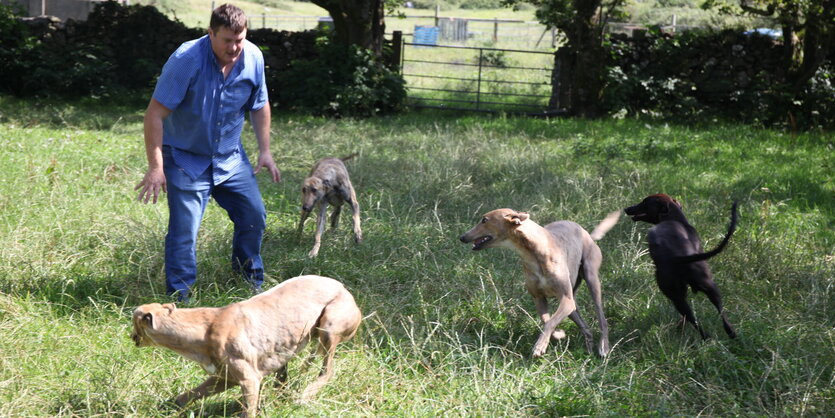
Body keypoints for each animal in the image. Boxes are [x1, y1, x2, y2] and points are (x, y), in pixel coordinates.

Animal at [628, 195, 740, 340]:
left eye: (645, 202)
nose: (626, 209)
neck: (674, 218)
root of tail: (679, 256)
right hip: (709, 287)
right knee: (719, 312)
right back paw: (730, 333)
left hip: (675, 296)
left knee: (692, 320)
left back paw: (703, 337)